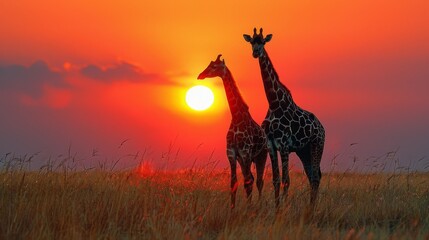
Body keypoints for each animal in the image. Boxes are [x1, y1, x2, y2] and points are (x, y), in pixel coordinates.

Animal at [198, 54, 266, 208]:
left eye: (214, 66)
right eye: (209, 64)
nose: (200, 75)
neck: (236, 118)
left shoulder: (245, 153)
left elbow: (247, 183)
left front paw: (248, 209)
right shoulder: (232, 153)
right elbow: (233, 183)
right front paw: (232, 209)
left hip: (261, 156)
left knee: (259, 181)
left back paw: (259, 206)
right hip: (244, 159)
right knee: (252, 178)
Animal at [244, 27, 324, 204]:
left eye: (263, 42)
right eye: (252, 42)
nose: (255, 53)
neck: (274, 104)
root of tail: (322, 128)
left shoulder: (284, 145)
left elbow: (286, 180)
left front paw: (283, 208)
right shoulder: (271, 145)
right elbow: (276, 179)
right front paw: (277, 207)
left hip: (317, 145)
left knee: (316, 177)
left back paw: (313, 209)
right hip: (303, 150)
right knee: (313, 176)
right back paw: (310, 208)